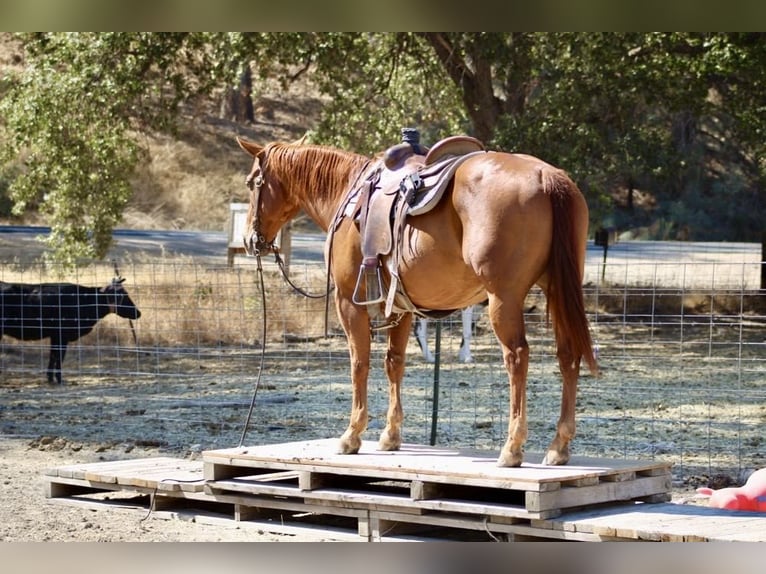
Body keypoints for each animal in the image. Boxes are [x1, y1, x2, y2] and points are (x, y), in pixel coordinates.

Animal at [237, 135, 597, 467]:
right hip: (558, 290)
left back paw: (512, 448)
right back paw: (558, 447)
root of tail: (545, 176)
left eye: (252, 182)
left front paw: (352, 435)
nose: (250, 240)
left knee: (517, 357)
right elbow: (394, 363)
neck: (348, 194)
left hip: (503, 299)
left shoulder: (348, 303)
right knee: (568, 355)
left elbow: (359, 364)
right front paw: (390, 435)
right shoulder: (401, 309)